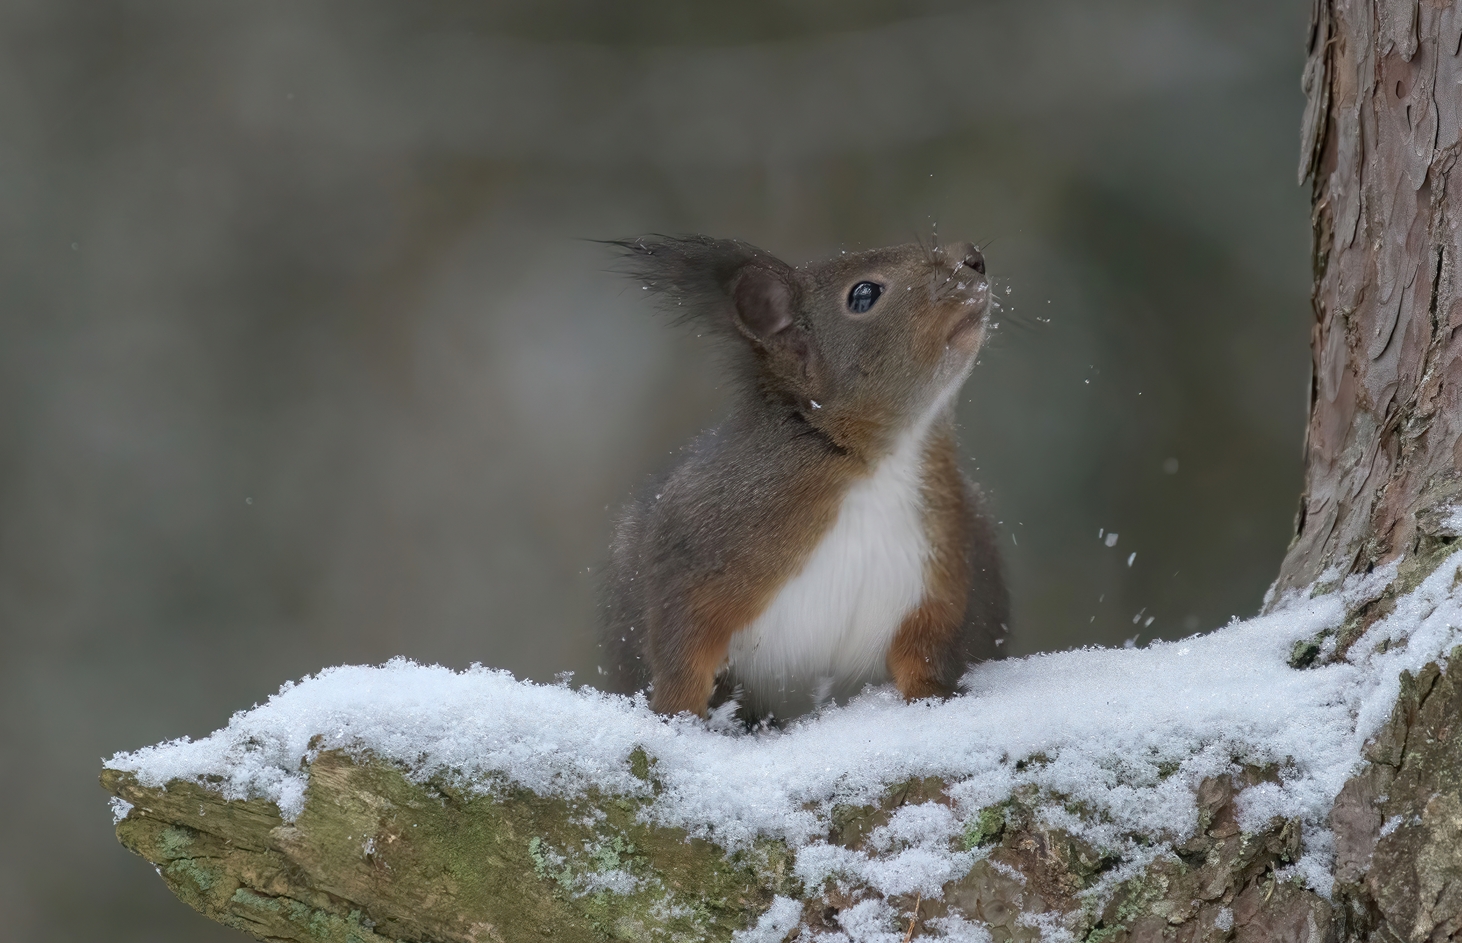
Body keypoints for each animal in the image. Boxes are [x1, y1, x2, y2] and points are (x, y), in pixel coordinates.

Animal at [596, 236, 1005, 722]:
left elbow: (926, 655)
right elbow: (681, 653)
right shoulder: (694, 544)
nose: (972, 258)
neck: (882, 463)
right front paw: (676, 716)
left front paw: (931, 700)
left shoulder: (939, 572)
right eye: (863, 295)